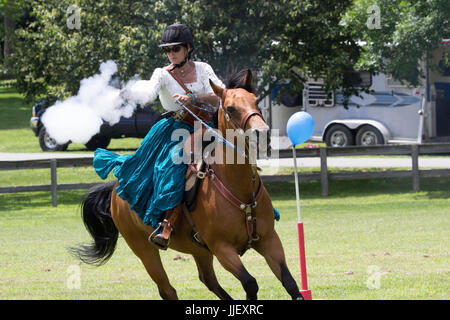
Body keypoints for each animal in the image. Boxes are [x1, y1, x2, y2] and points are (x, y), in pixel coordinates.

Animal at [71, 69, 302, 300]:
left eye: (255, 101)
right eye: (230, 108)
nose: (262, 132)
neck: (240, 189)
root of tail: (115, 189)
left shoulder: (269, 241)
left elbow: (291, 284)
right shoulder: (222, 248)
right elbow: (250, 283)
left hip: (199, 251)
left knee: (208, 280)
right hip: (145, 251)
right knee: (168, 289)